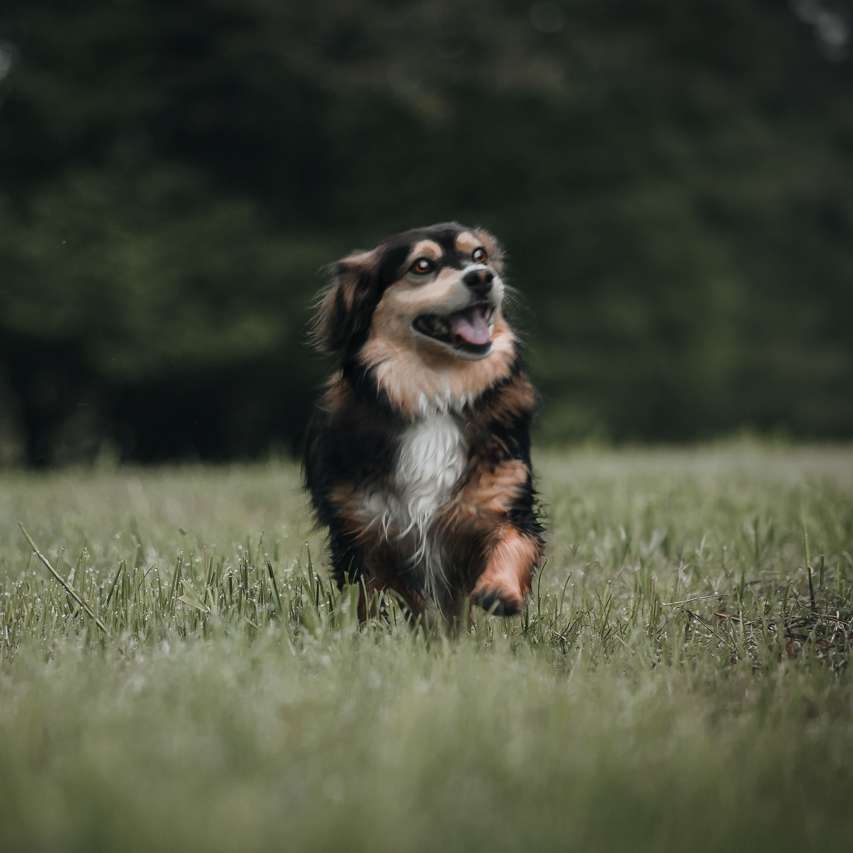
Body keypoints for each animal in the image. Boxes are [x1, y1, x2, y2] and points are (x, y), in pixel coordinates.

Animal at [302, 221, 544, 620]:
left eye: (479, 255)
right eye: (422, 265)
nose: (482, 277)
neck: (435, 392)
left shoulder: (504, 499)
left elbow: (514, 541)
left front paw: (500, 590)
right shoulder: (361, 530)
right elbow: (372, 597)